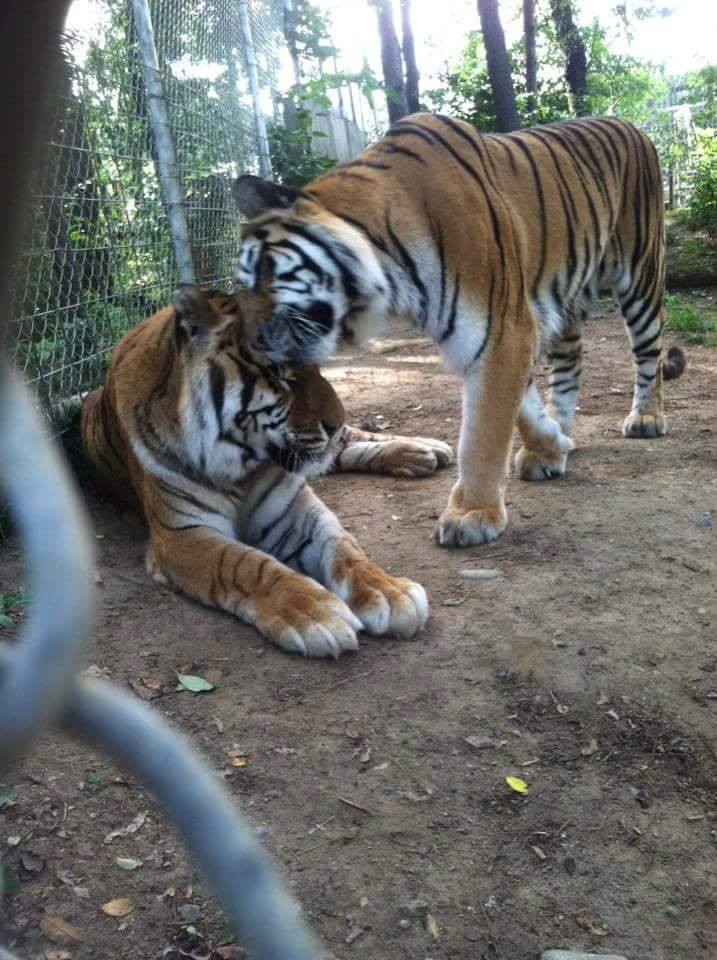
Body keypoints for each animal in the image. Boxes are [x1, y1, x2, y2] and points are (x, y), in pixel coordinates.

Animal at [80, 283, 453, 657]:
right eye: (282, 375)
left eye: (319, 366)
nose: (335, 422)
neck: (242, 465)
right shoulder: (181, 534)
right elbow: (244, 564)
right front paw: (315, 613)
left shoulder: (296, 511)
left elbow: (345, 547)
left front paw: (388, 591)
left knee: (352, 442)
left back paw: (425, 449)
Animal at [231, 112, 686, 549]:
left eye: (264, 273)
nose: (249, 345)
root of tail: (629, 125)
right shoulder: (505, 331)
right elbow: (522, 405)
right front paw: (550, 444)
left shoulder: (503, 329)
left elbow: (482, 433)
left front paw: (472, 513)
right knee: (569, 365)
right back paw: (563, 431)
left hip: (643, 271)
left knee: (649, 352)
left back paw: (646, 417)